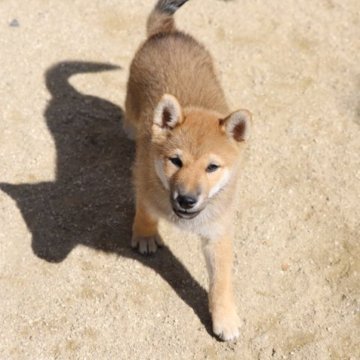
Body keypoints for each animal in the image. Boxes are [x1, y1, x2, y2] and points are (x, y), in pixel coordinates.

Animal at [124, 0, 250, 340]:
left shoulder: (218, 234)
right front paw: (145, 235)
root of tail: (168, 33)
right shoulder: (145, 183)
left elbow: (221, 282)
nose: (186, 200)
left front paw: (225, 318)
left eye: (212, 167)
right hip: (131, 106)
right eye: (175, 161)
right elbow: (144, 211)